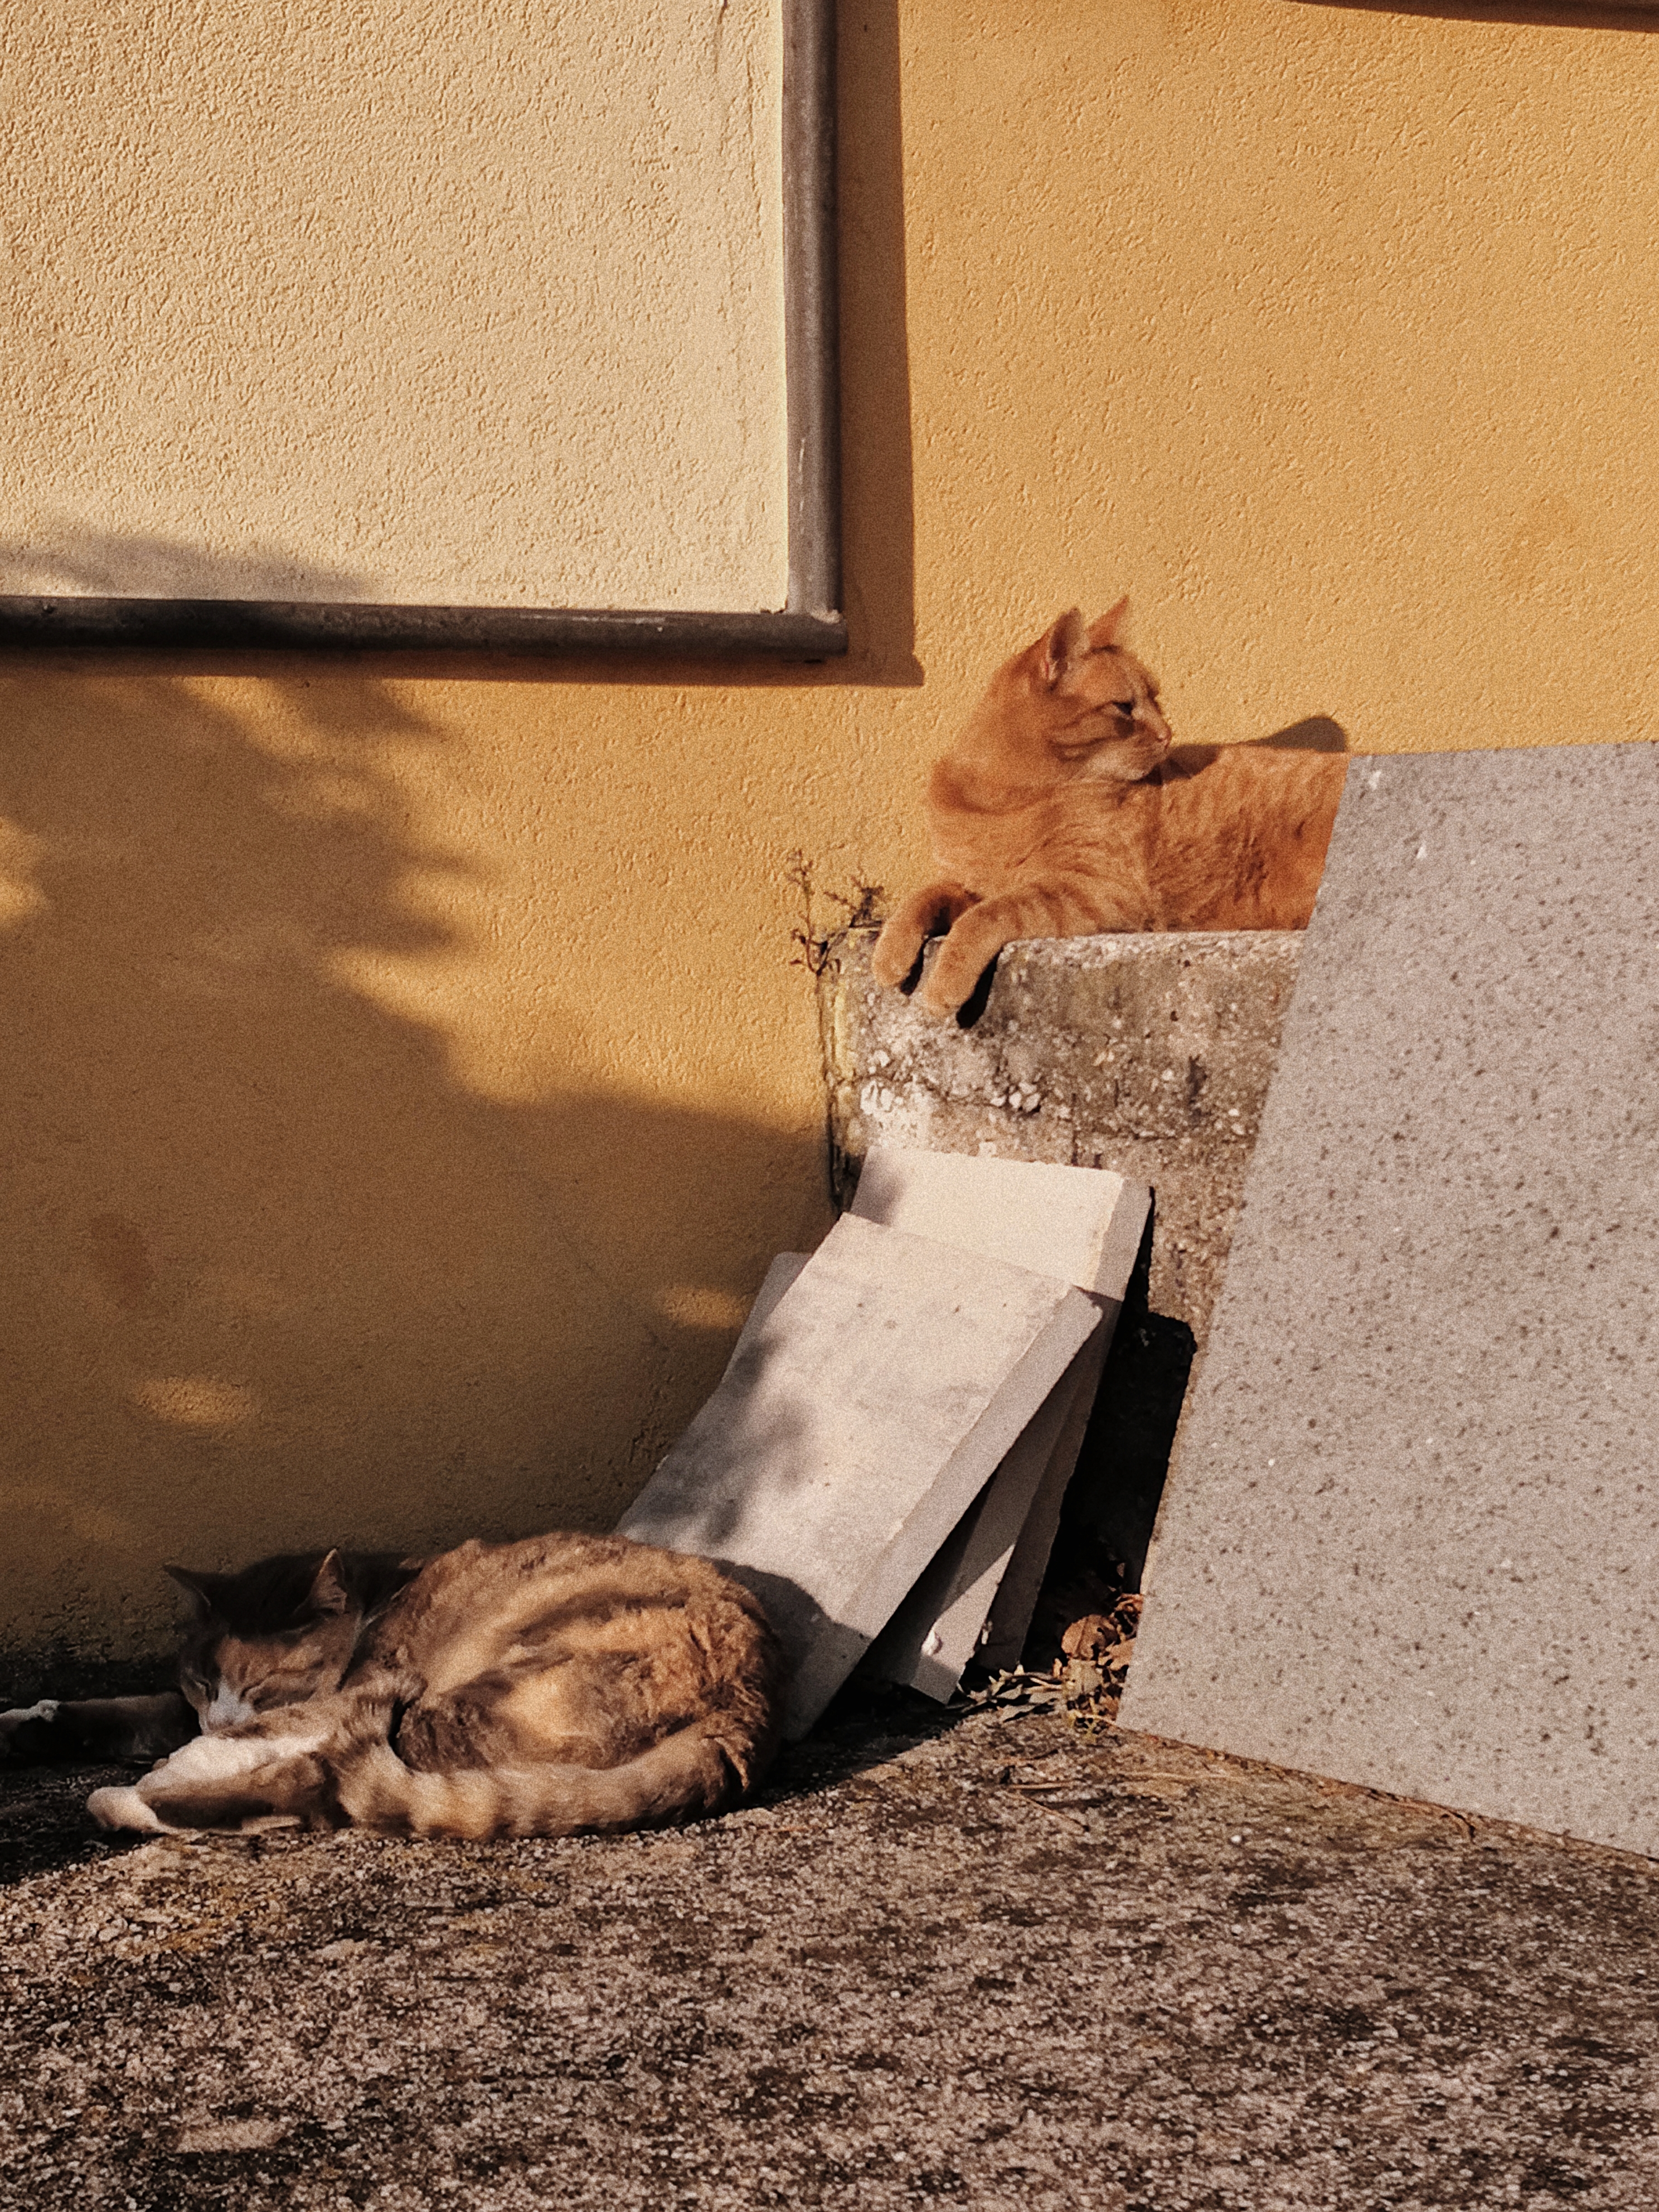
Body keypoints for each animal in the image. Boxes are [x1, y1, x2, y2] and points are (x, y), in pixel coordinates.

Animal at [0, 1530, 787, 1840]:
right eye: (199, 1677)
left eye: (266, 1681)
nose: (217, 1717)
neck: (375, 1602)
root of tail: (748, 1713)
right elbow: (134, 1708)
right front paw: (26, 1721)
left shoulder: (345, 1694)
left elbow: (231, 1740)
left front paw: (164, 1771)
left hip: (453, 1705)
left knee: (323, 1784)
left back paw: (127, 1803)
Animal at [871, 606, 1354, 1017]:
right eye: (1125, 707)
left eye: (1156, 700)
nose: (1167, 734)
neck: (1002, 804)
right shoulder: (972, 884)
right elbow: (924, 896)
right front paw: (890, 955)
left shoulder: (1095, 889)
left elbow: (985, 917)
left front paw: (943, 986)